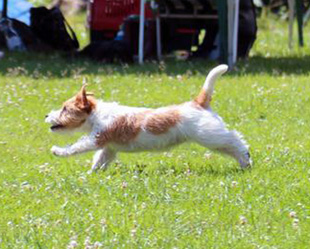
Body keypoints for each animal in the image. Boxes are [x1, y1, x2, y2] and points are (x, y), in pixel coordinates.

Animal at [45, 65, 252, 172]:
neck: (97, 115)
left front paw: (57, 151)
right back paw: (245, 163)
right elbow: (99, 160)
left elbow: (76, 147)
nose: (47, 115)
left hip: (210, 135)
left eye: (65, 108)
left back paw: (246, 157)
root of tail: (198, 102)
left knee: (235, 139)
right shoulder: (109, 148)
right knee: (231, 145)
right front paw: (90, 175)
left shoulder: (96, 138)